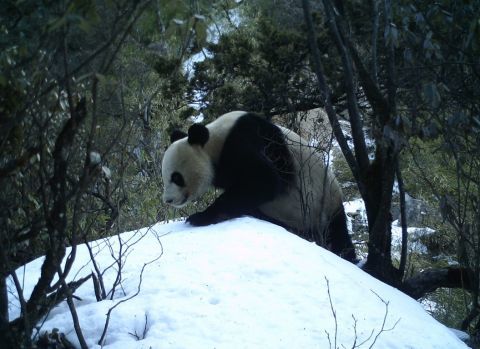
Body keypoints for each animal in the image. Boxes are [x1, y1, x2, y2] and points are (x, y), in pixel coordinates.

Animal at [163, 110, 354, 260]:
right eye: (165, 178)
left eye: (176, 177)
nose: (168, 200)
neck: (213, 142)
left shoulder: (242, 142)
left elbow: (265, 181)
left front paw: (199, 217)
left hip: (323, 203)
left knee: (337, 236)